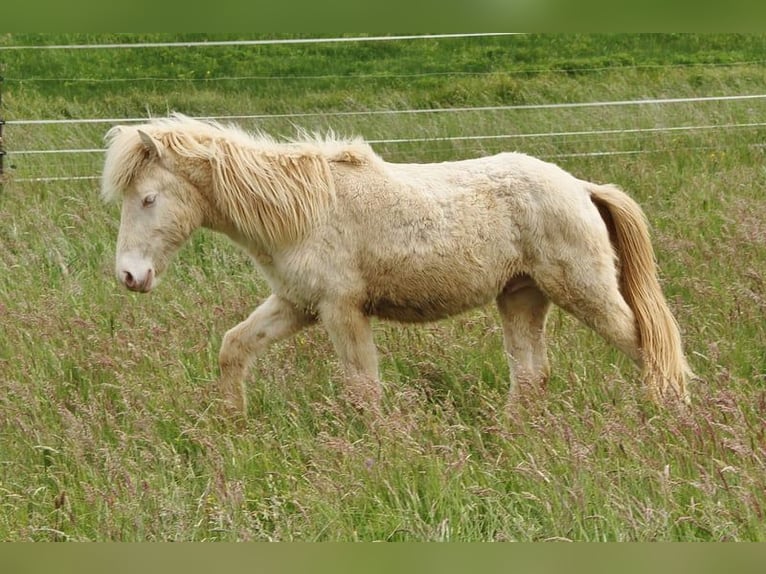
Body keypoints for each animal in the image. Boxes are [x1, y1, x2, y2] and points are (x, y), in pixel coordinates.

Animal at [101, 114, 693, 416]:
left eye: (148, 198)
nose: (130, 276)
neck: (303, 208)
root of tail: (581, 186)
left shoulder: (342, 310)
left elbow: (364, 390)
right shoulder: (296, 305)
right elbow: (234, 348)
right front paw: (234, 424)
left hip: (583, 291)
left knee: (649, 347)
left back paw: (669, 417)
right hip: (522, 296)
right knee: (530, 375)